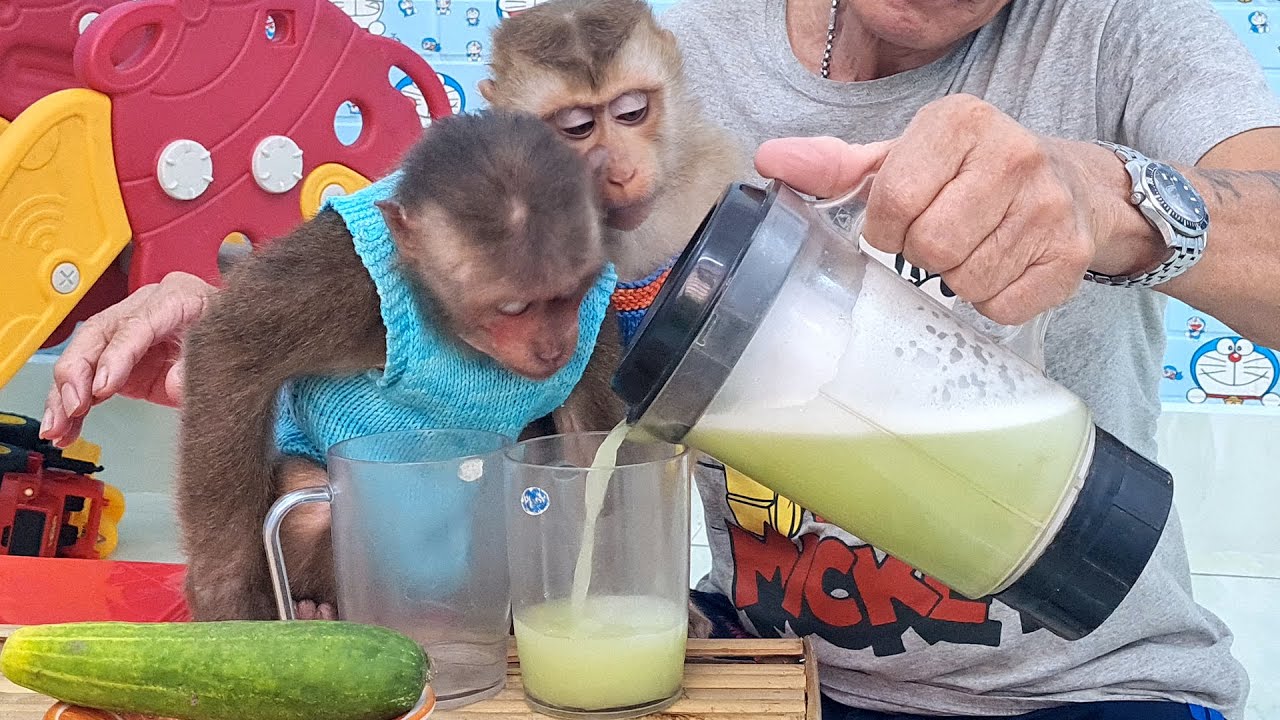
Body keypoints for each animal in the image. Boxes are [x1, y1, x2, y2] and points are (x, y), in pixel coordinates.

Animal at [175, 110, 614, 621]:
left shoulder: (598, 310)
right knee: (311, 508)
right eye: (513, 308)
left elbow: (590, 454)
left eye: (571, 294)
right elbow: (229, 349)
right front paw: (226, 597)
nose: (553, 348)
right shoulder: (348, 283)